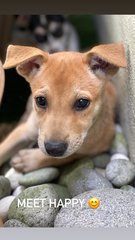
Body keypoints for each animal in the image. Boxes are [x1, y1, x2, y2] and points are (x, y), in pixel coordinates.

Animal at [0, 43, 126, 172]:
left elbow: (61, 157)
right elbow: (3, 148)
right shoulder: (25, 130)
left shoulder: (96, 146)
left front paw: (28, 159)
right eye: (40, 100)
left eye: (82, 102)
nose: (54, 148)